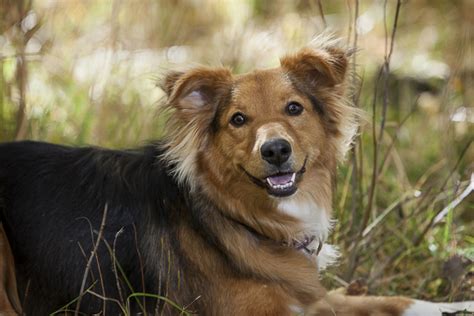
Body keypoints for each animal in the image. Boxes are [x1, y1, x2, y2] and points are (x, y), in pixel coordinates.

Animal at [0, 36, 474, 314]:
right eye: (238, 119)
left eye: (294, 108)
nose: (276, 150)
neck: (239, 217)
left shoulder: (307, 296)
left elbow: (388, 299)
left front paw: (457, 302)